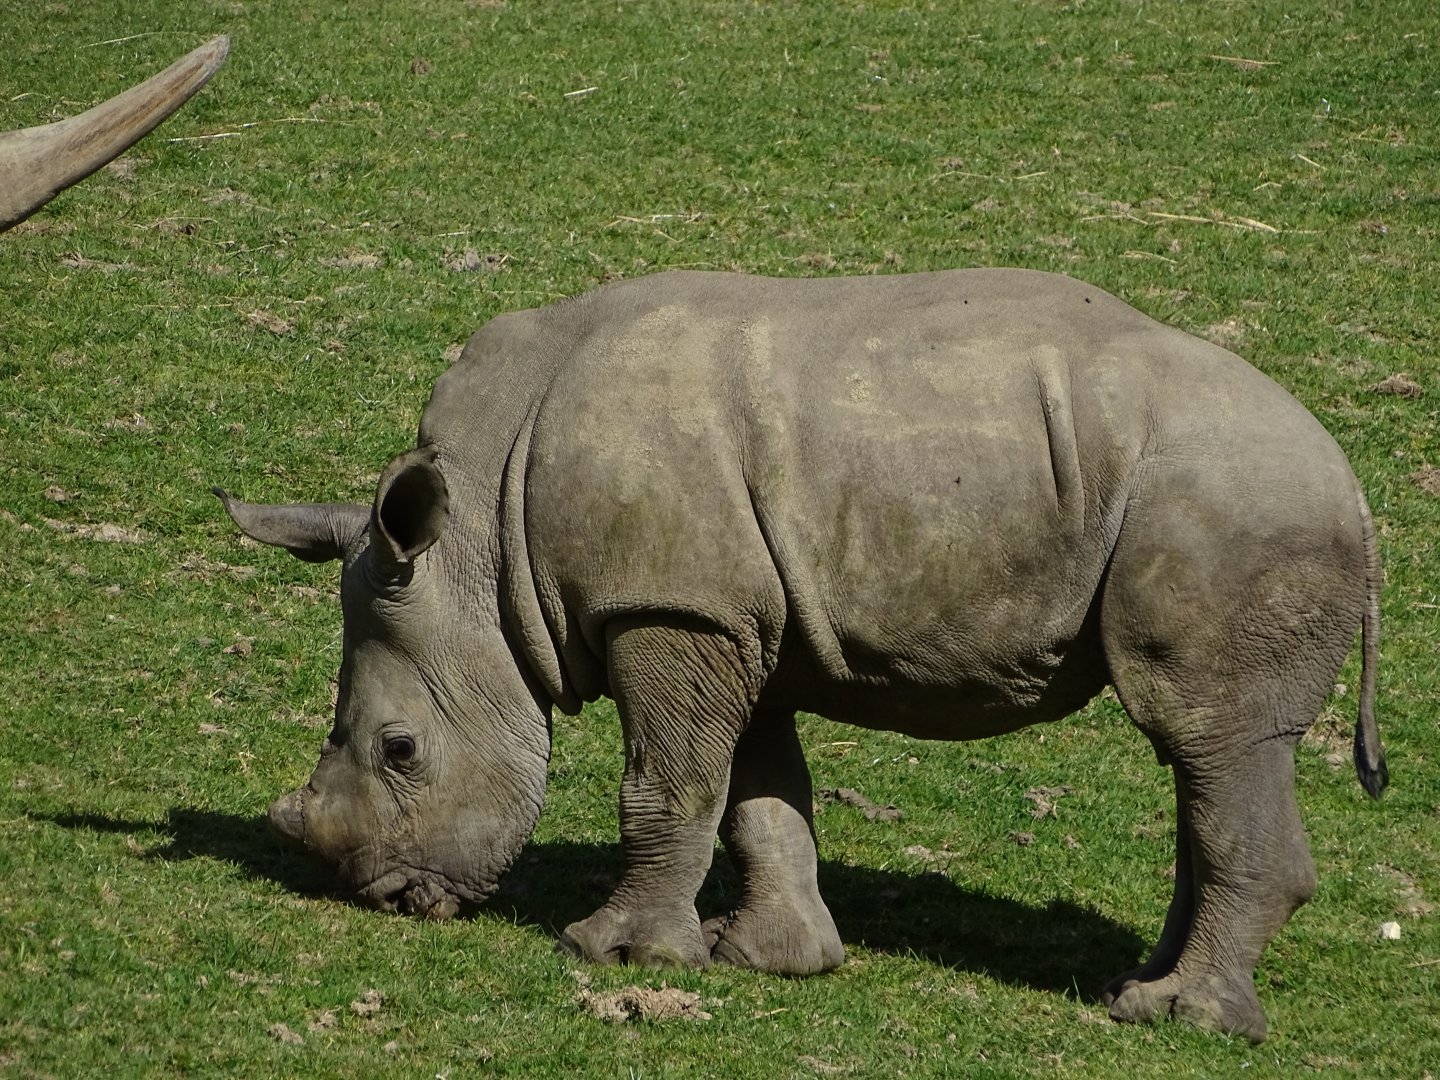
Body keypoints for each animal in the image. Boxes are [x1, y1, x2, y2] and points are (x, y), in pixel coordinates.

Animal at [217, 267, 1385, 1042]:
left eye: (401, 751)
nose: (387, 897)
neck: (477, 542)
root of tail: (1356, 488)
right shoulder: (737, 615)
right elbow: (757, 794)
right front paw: (768, 959)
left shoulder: (669, 605)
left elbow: (667, 782)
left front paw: (614, 951)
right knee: (1206, 760)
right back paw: (1139, 988)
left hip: (1241, 512)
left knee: (1212, 736)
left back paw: (1178, 1018)